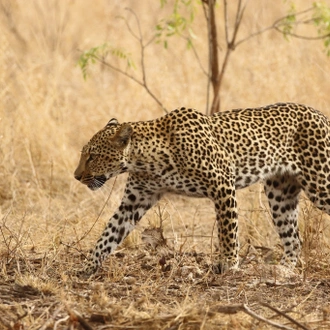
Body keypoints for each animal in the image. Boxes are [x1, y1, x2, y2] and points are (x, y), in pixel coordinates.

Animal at [73, 103, 330, 276]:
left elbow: (228, 231)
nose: (76, 176)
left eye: (92, 156)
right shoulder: (134, 200)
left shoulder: (223, 183)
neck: (146, 161)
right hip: (280, 193)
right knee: (294, 239)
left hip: (320, 183)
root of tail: (321, 115)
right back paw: (283, 271)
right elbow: (108, 234)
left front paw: (229, 263)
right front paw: (87, 265)